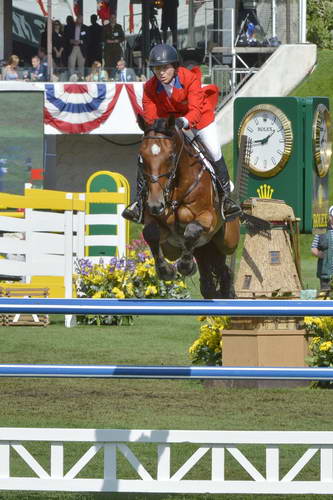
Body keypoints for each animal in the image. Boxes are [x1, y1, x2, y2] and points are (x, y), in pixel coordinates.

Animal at [136, 115, 240, 298]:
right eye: (142, 158)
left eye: (170, 157)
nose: (155, 205)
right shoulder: (154, 220)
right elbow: (150, 233)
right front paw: (166, 271)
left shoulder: (207, 217)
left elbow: (191, 230)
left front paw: (186, 266)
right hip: (205, 246)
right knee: (210, 268)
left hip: (227, 240)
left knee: (221, 264)